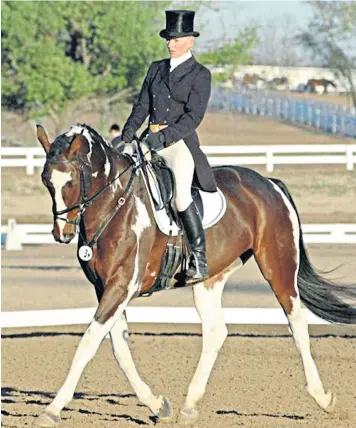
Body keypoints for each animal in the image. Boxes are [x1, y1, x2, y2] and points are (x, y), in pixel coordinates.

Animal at [34, 123, 356, 424]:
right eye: (46, 180)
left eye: (71, 180)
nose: (62, 233)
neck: (116, 205)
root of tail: (269, 183)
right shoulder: (106, 288)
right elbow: (120, 349)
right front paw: (158, 405)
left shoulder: (122, 286)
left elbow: (88, 343)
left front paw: (51, 410)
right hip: (210, 278)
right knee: (216, 331)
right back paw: (189, 406)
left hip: (278, 265)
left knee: (297, 323)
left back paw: (323, 398)